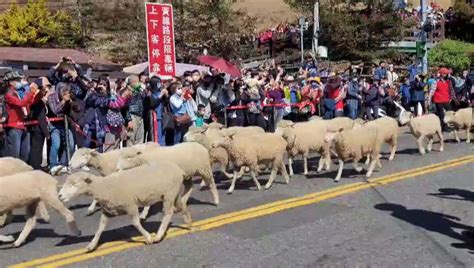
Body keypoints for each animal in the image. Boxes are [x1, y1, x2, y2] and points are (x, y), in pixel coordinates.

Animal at [56, 162, 188, 252]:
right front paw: (92, 245)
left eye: (74, 184)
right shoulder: (107, 211)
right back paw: (189, 222)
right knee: (181, 206)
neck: (103, 186)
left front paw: (148, 237)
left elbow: (135, 223)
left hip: (169, 195)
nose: (59, 196)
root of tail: (179, 169)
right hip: (174, 194)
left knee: (168, 213)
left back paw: (159, 235)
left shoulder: (131, 205)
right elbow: (100, 228)